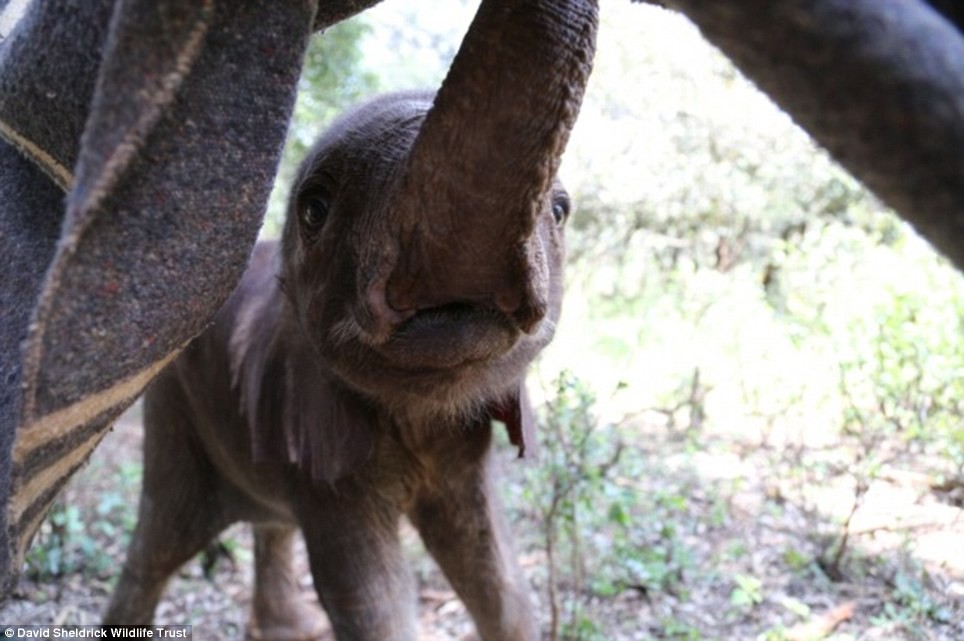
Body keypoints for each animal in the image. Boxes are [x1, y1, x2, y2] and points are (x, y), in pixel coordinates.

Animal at [105, 89, 572, 640]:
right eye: (315, 209)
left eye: (559, 210)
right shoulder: (315, 438)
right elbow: (367, 592)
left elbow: (495, 570)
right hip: (172, 409)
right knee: (162, 538)